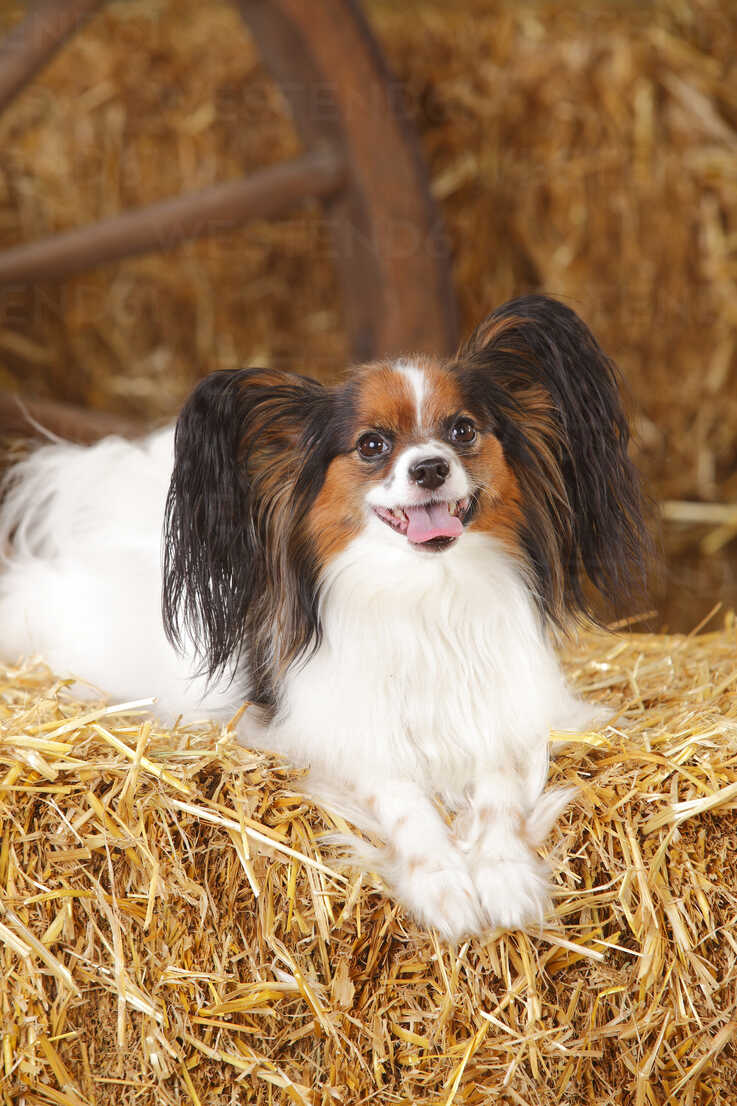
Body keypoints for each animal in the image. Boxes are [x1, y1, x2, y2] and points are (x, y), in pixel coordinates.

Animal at [0, 296, 641, 942]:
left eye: (462, 430)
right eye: (372, 445)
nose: (430, 468)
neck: (425, 591)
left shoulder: (503, 719)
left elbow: (498, 793)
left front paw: (504, 875)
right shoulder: (341, 739)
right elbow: (405, 803)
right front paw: (444, 887)